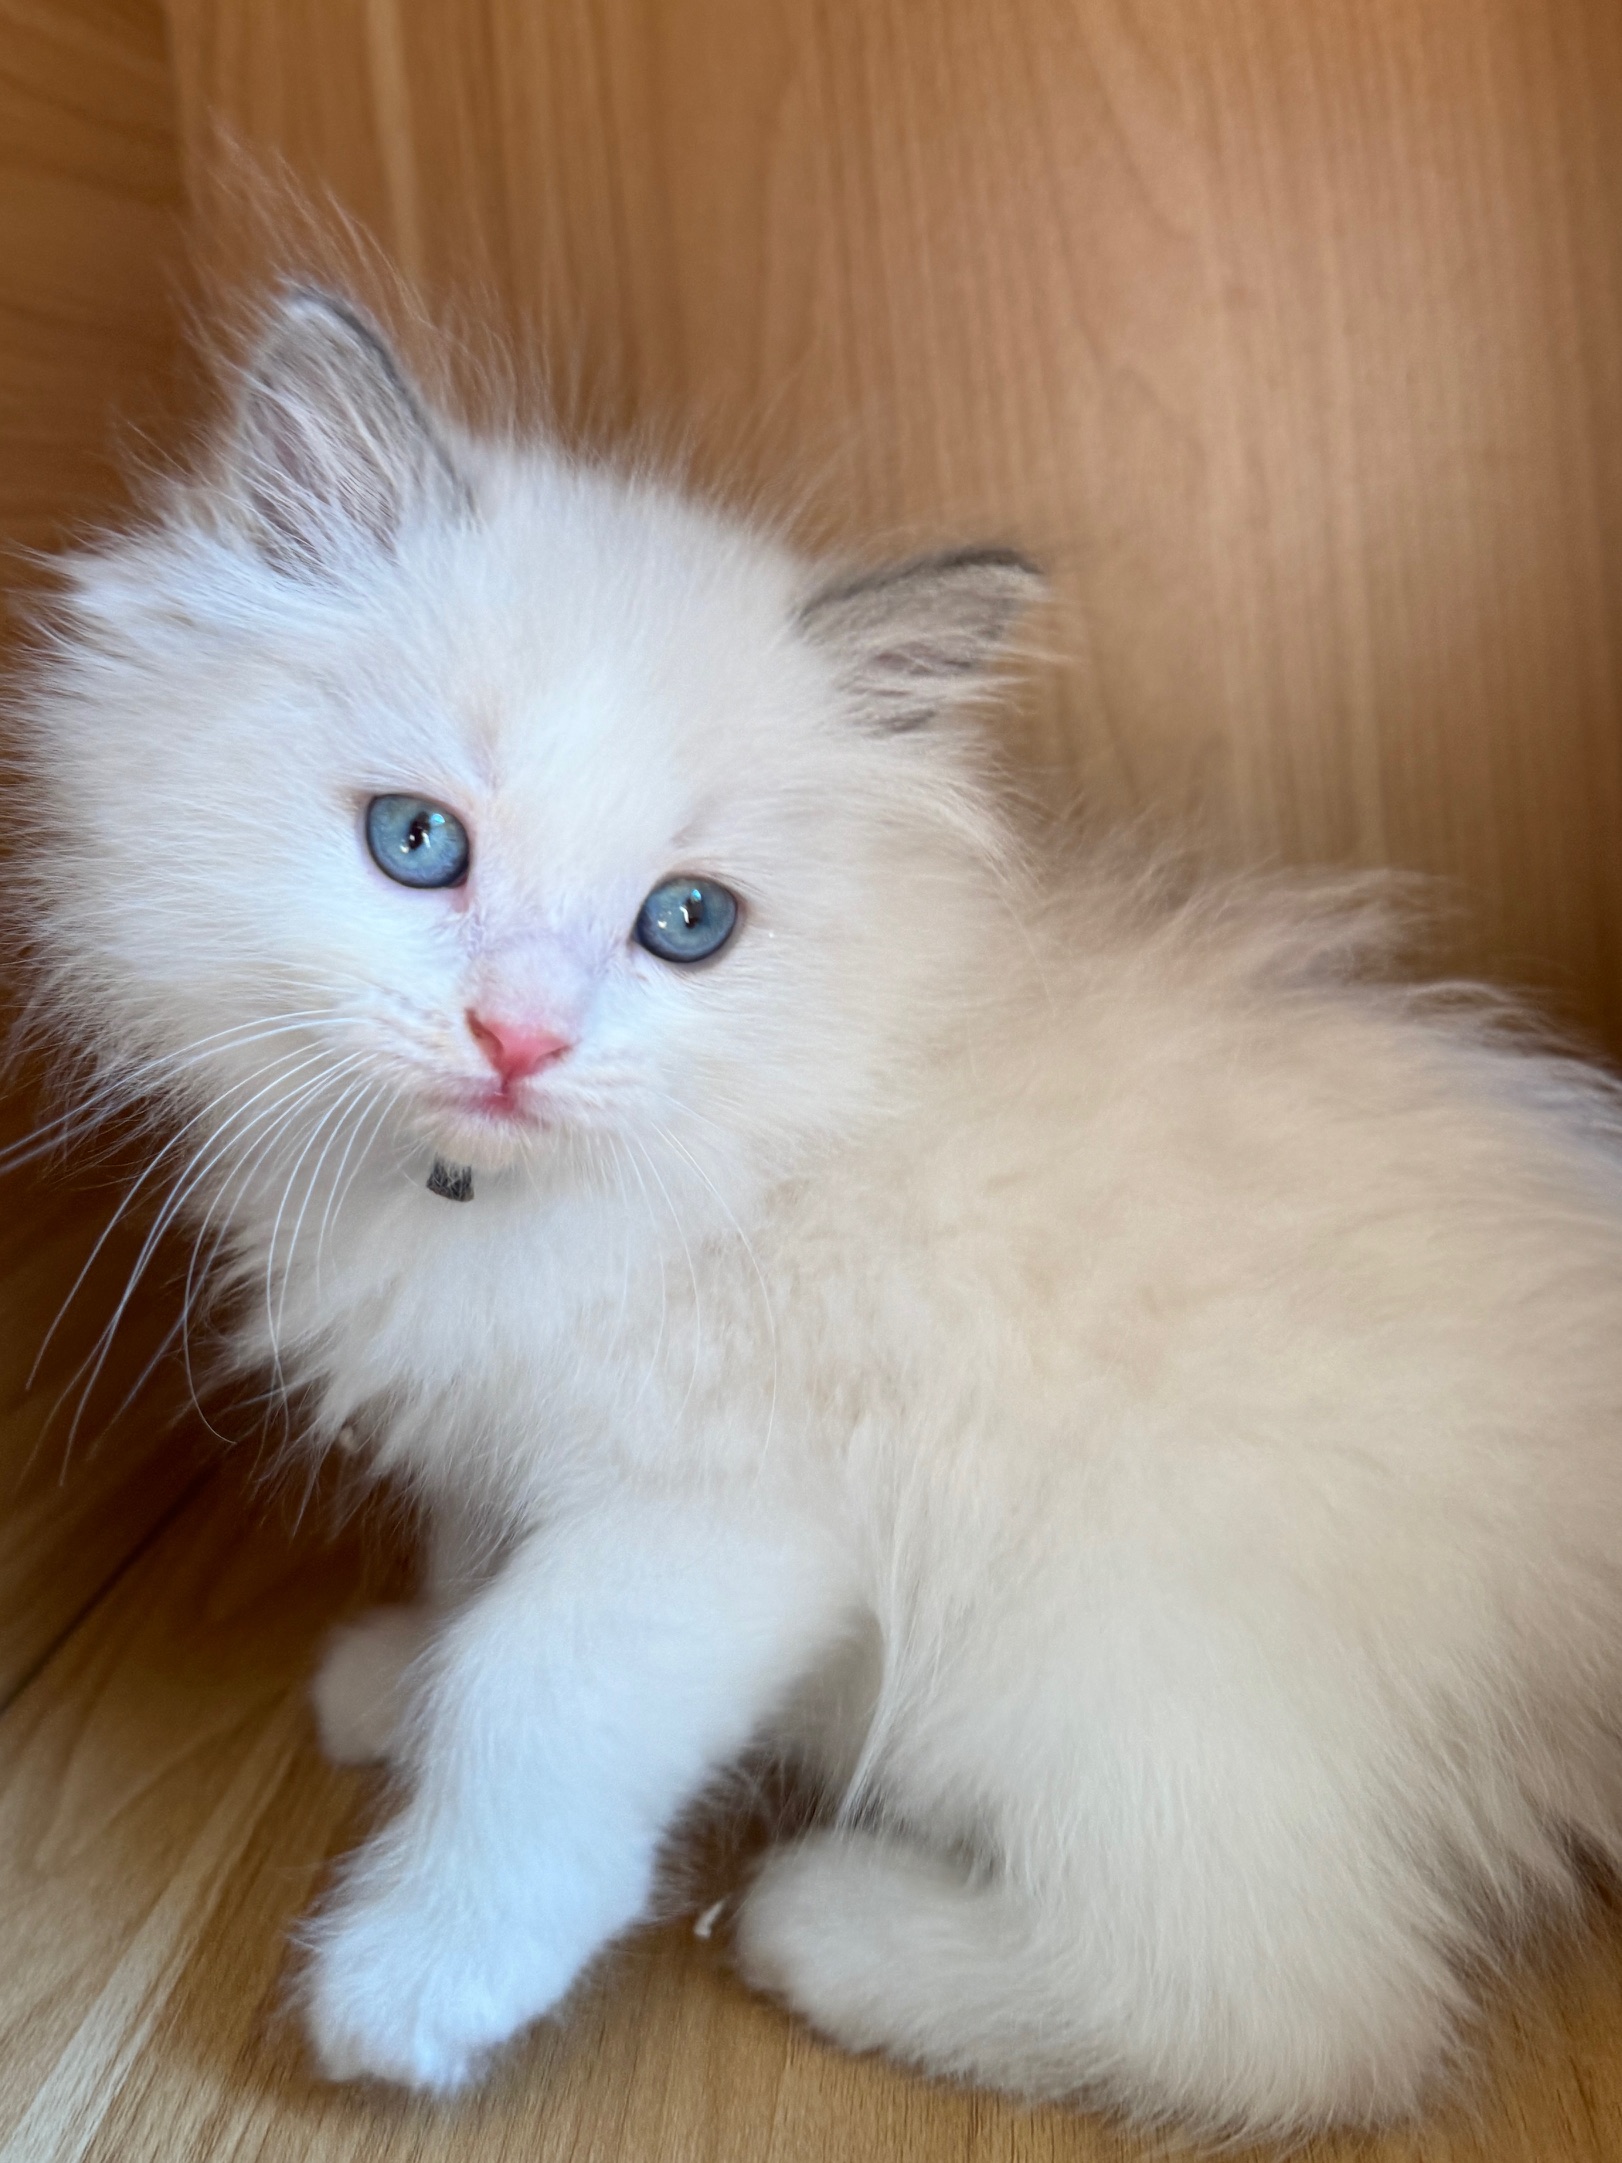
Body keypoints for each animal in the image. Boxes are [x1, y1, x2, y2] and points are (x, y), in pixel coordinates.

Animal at [19, 292, 1622, 2145]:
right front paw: (397, 1680)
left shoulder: (725, 1508)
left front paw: (420, 1970)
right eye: (416, 841)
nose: (520, 1037)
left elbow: (535, 1680)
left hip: (1106, 1659)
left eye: (685, 922)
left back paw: (831, 1928)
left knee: (1283, 2012)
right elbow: (476, 1578)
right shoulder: (505, 1440)